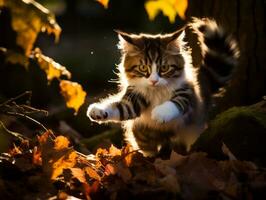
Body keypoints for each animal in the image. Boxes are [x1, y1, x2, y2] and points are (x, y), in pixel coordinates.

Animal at [87, 18, 239, 157]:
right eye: (143, 68)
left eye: (164, 68)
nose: (154, 81)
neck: (157, 92)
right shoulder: (134, 99)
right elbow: (118, 107)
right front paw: (97, 111)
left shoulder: (186, 93)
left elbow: (175, 103)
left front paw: (160, 113)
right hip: (142, 134)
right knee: (149, 149)